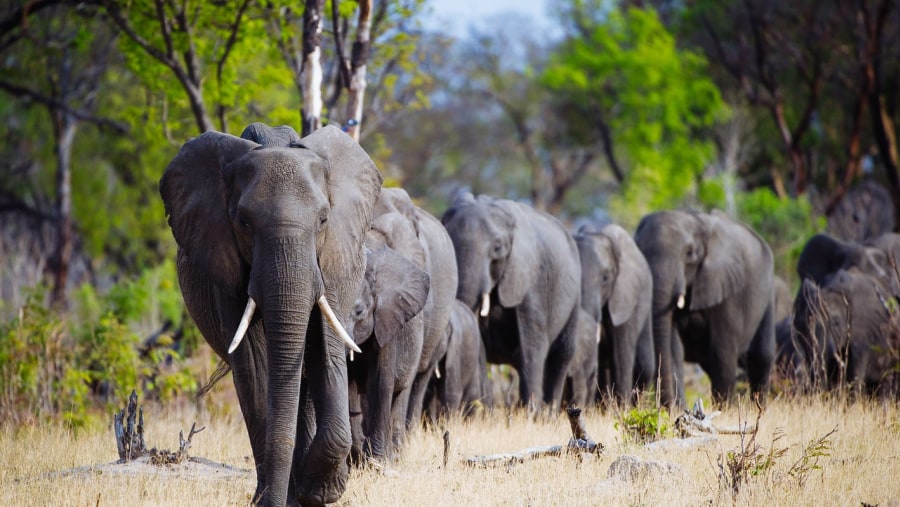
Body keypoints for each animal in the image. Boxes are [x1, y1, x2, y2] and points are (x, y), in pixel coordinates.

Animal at [158, 124, 380, 507]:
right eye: (244, 222)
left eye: (323, 220)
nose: (275, 500)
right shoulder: (224, 264)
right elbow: (255, 363)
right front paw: (284, 497)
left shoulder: (334, 259)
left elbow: (325, 351)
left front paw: (318, 490)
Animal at [346, 210, 430, 464]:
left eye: (359, 311)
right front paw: (356, 460)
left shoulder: (388, 321)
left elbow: (381, 381)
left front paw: (377, 462)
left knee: (398, 394)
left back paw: (394, 457)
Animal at [440, 191, 580, 412]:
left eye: (497, 248)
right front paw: (486, 412)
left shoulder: (531, 278)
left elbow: (532, 342)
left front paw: (530, 415)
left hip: (574, 296)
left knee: (561, 355)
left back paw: (549, 413)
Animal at [632, 208, 772, 406]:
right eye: (640, 250)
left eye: (689, 253)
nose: (669, 407)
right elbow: (674, 346)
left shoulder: (727, 289)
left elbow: (722, 349)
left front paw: (725, 408)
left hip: (768, 293)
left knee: (760, 355)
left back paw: (758, 406)